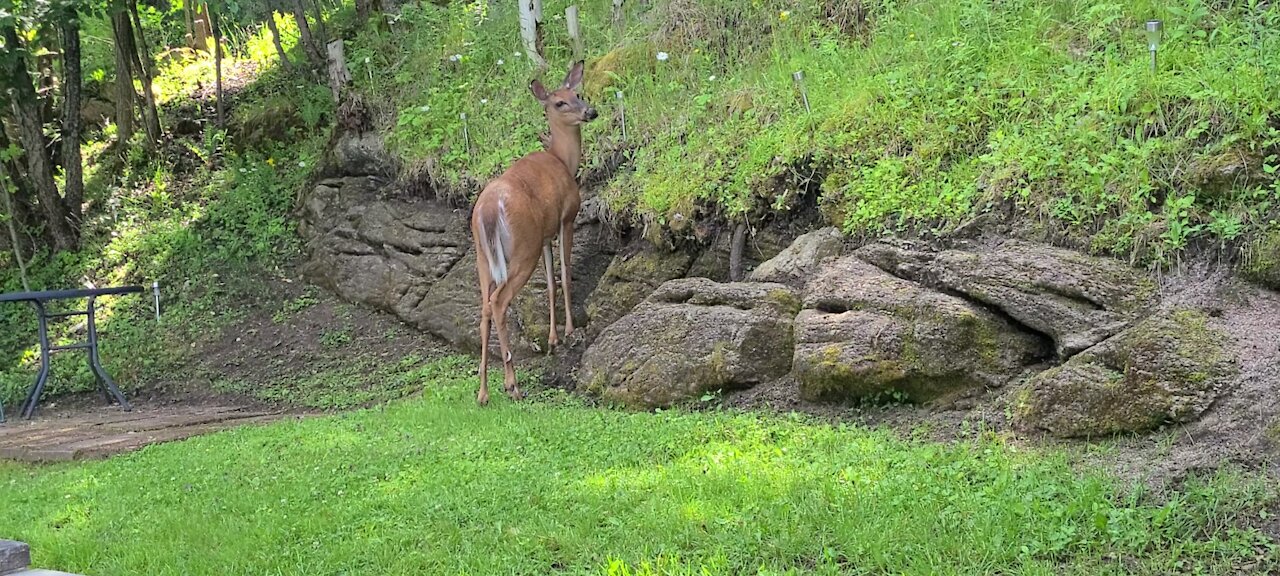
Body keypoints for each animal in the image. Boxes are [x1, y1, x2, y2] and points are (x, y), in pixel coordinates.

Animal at [473, 61, 596, 404]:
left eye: (578, 94)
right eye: (560, 103)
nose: (591, 112)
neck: (563, 160)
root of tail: (489, 209)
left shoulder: (544, 235)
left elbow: (551, 283)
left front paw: (553, 338)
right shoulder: (566, 218)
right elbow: (565, 275)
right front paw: (568, 332)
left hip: (483, 258)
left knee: (484, 308)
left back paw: (483, 392)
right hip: (521, 248)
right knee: (499, 302)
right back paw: (512, 384)